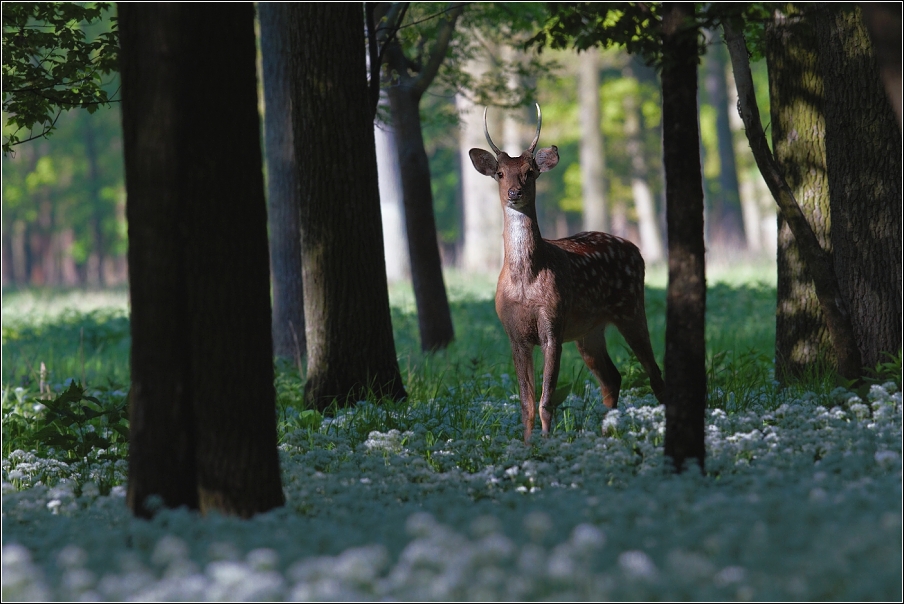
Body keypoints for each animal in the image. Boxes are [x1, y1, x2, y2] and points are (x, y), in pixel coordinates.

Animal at [470, 105, 660, 444]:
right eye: (500, 173)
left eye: (530, 172)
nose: (515, 192)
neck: (526, 281)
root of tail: (636, 249)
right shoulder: (514, 333)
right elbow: (526, 402)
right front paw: (527, 445)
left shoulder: (553, 325)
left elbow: (546, 399)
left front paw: (547, 444)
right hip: (589, 330)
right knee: (612, 377)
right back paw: (607, 433)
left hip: (631, 308)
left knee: (653, 371)